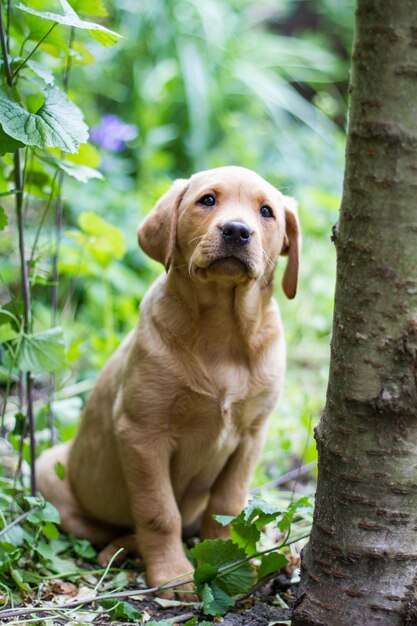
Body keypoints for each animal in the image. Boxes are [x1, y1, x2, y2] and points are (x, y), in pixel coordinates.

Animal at [36, 166, 300, 596]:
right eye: (207, 200)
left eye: (266, 212)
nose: (237, 230)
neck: (223, 334)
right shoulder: (142, 433)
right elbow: (158, 512)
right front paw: (173, 574)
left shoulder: (251, 436)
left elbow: (226, 506)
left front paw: (229, 563)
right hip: (49, 467)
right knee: (100, 527)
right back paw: (120, 549)